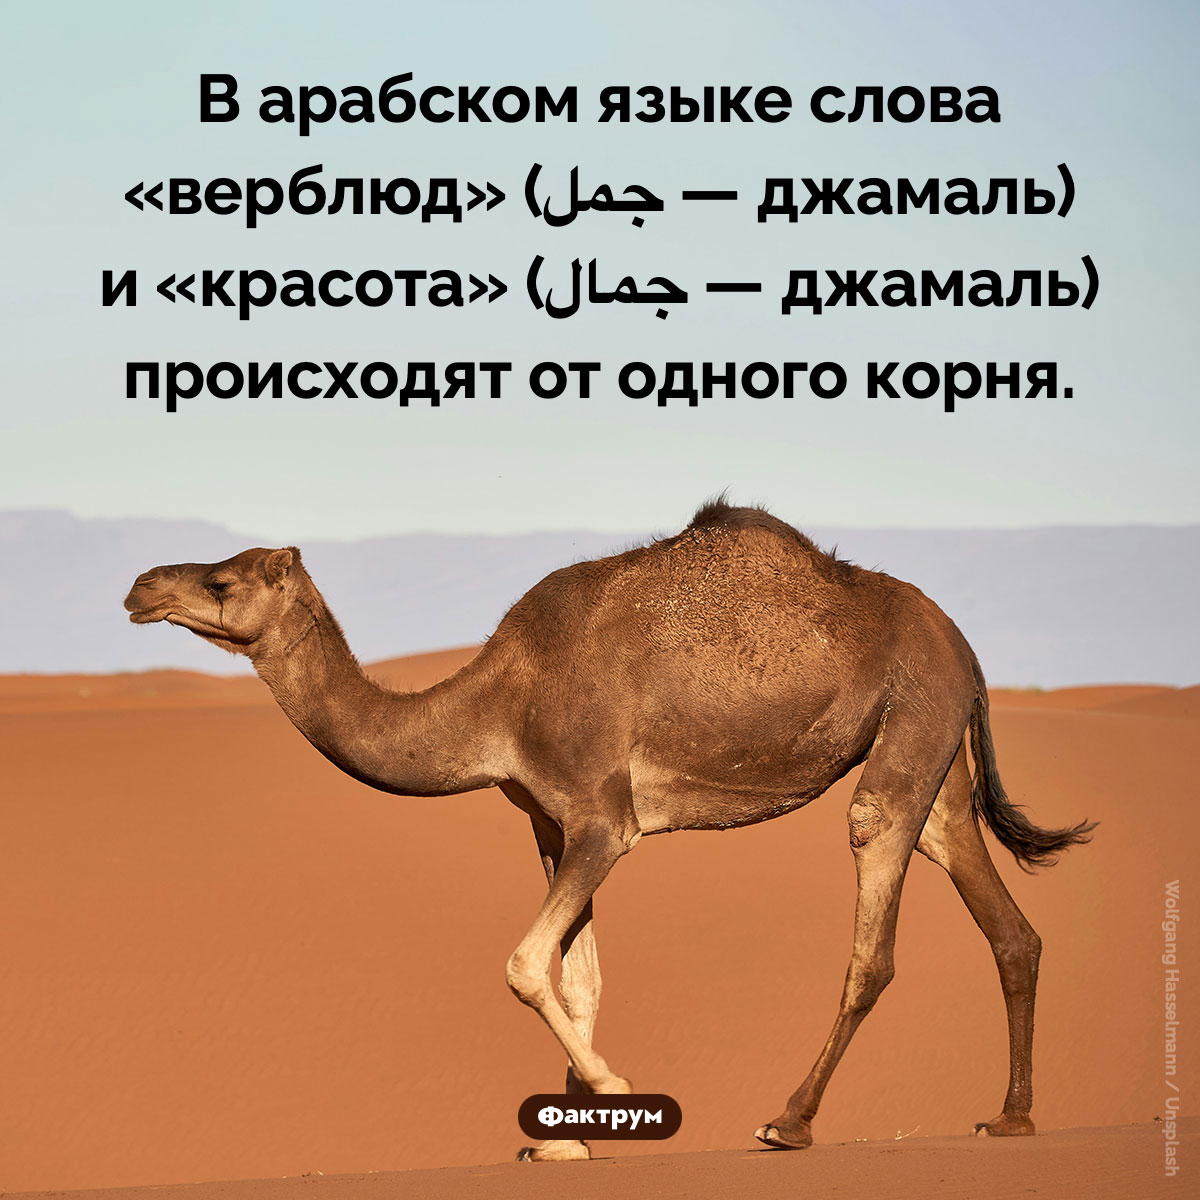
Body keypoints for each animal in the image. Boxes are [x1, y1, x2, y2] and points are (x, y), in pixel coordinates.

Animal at [123, 499, 1093, 1161]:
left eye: (222, 581)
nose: (139, 587)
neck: (497, 702)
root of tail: (965, 648)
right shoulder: (551, 826)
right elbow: (577, 975)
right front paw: (564, 1137)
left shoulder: (603, 818)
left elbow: (523, 963)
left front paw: (613, 1093)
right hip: (934, 748)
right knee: (1000, 913)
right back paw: (1010, 1116)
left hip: (913, 716)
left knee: (874, 912)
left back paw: (788, 1121)